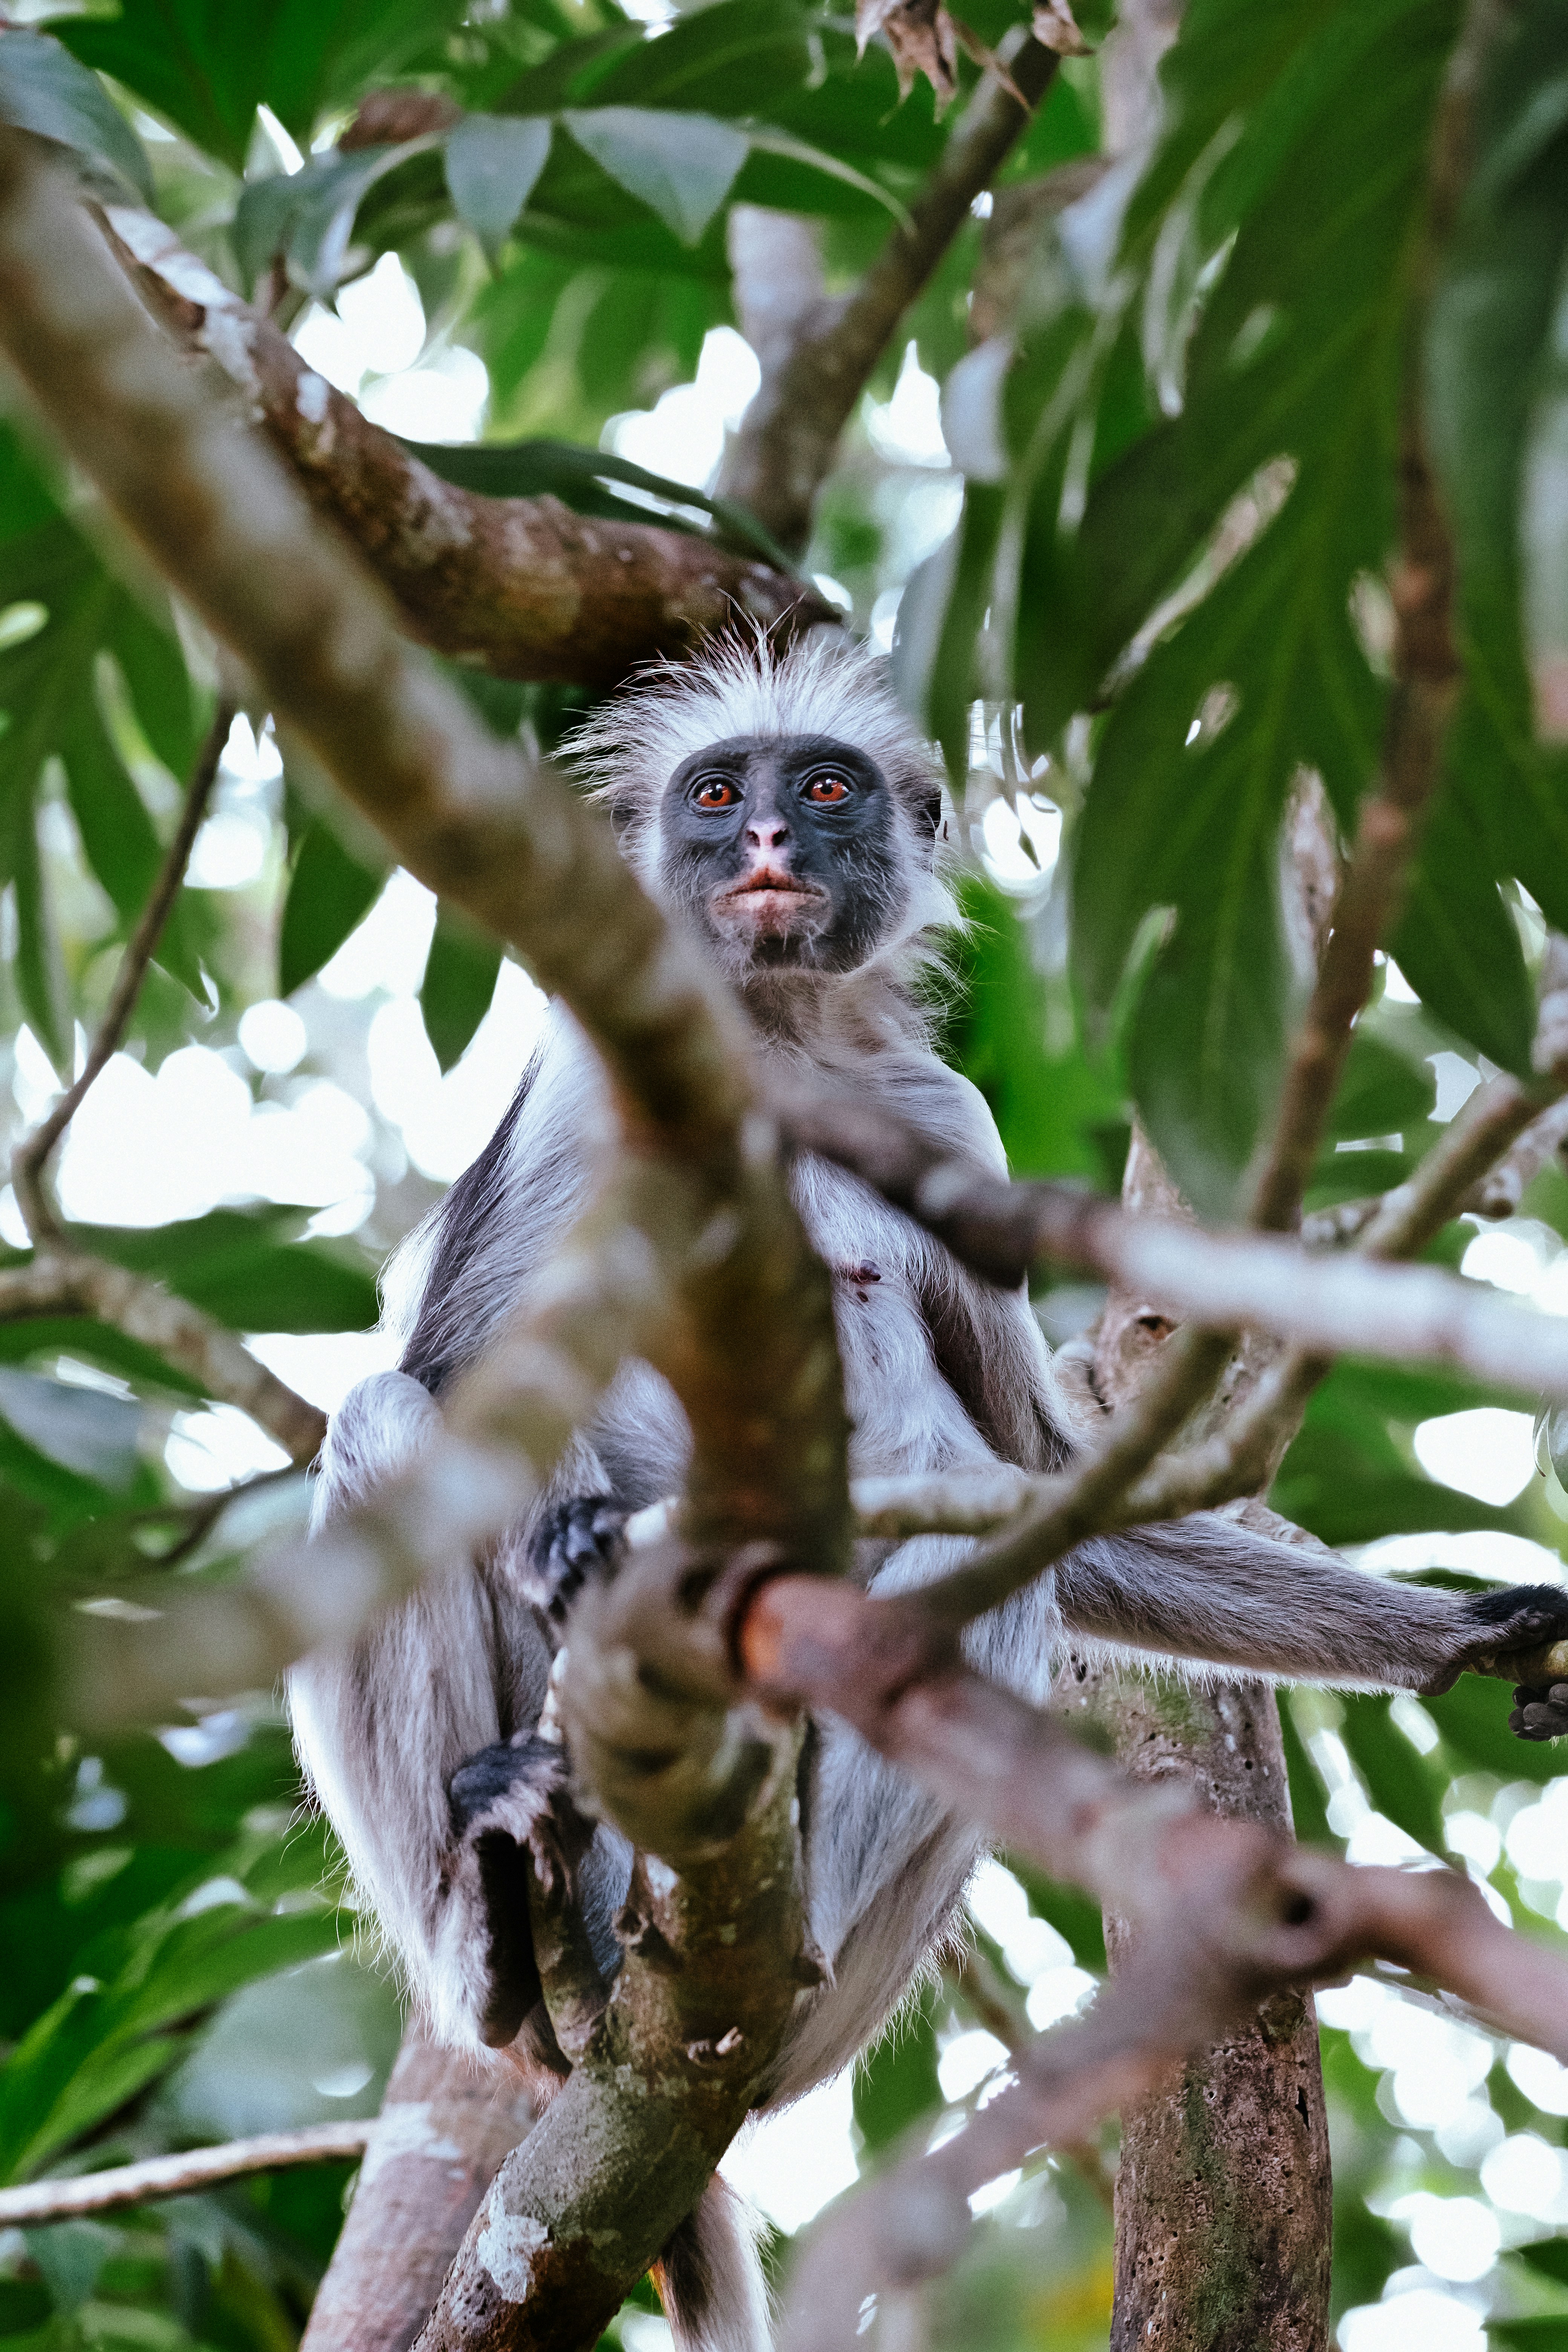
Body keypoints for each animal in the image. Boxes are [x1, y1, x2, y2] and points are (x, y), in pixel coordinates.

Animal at [288, 634, 1568, 2352]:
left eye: (823, 789)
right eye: (717, 796)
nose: (767, 840)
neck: (773, 1049)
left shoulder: (943, 1125)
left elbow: (1040, 1500)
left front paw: (1461, 1633)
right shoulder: (573, 1084)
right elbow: (455, 1373)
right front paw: (567, 1533)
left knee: (985, 1607)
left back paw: (753, 1958)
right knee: (385, 1414)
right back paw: (499, 1934)